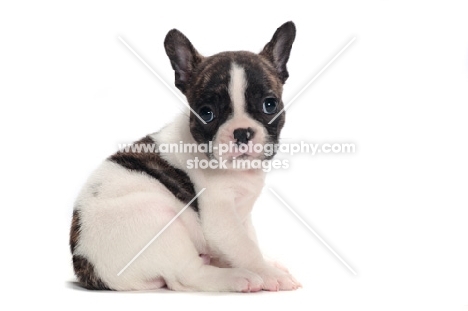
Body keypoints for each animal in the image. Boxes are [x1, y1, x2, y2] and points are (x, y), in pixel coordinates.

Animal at [71, 22, 302, 292]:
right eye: (207, 113)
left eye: (270, 105)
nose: (242, 132)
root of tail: (87, 266)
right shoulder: (221, 218)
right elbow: (246, 248)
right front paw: (269, 274)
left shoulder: (242, 215)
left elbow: (249, 239)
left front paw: (268, 264)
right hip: (158, 218)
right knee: (187, 275)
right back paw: (237, 278)